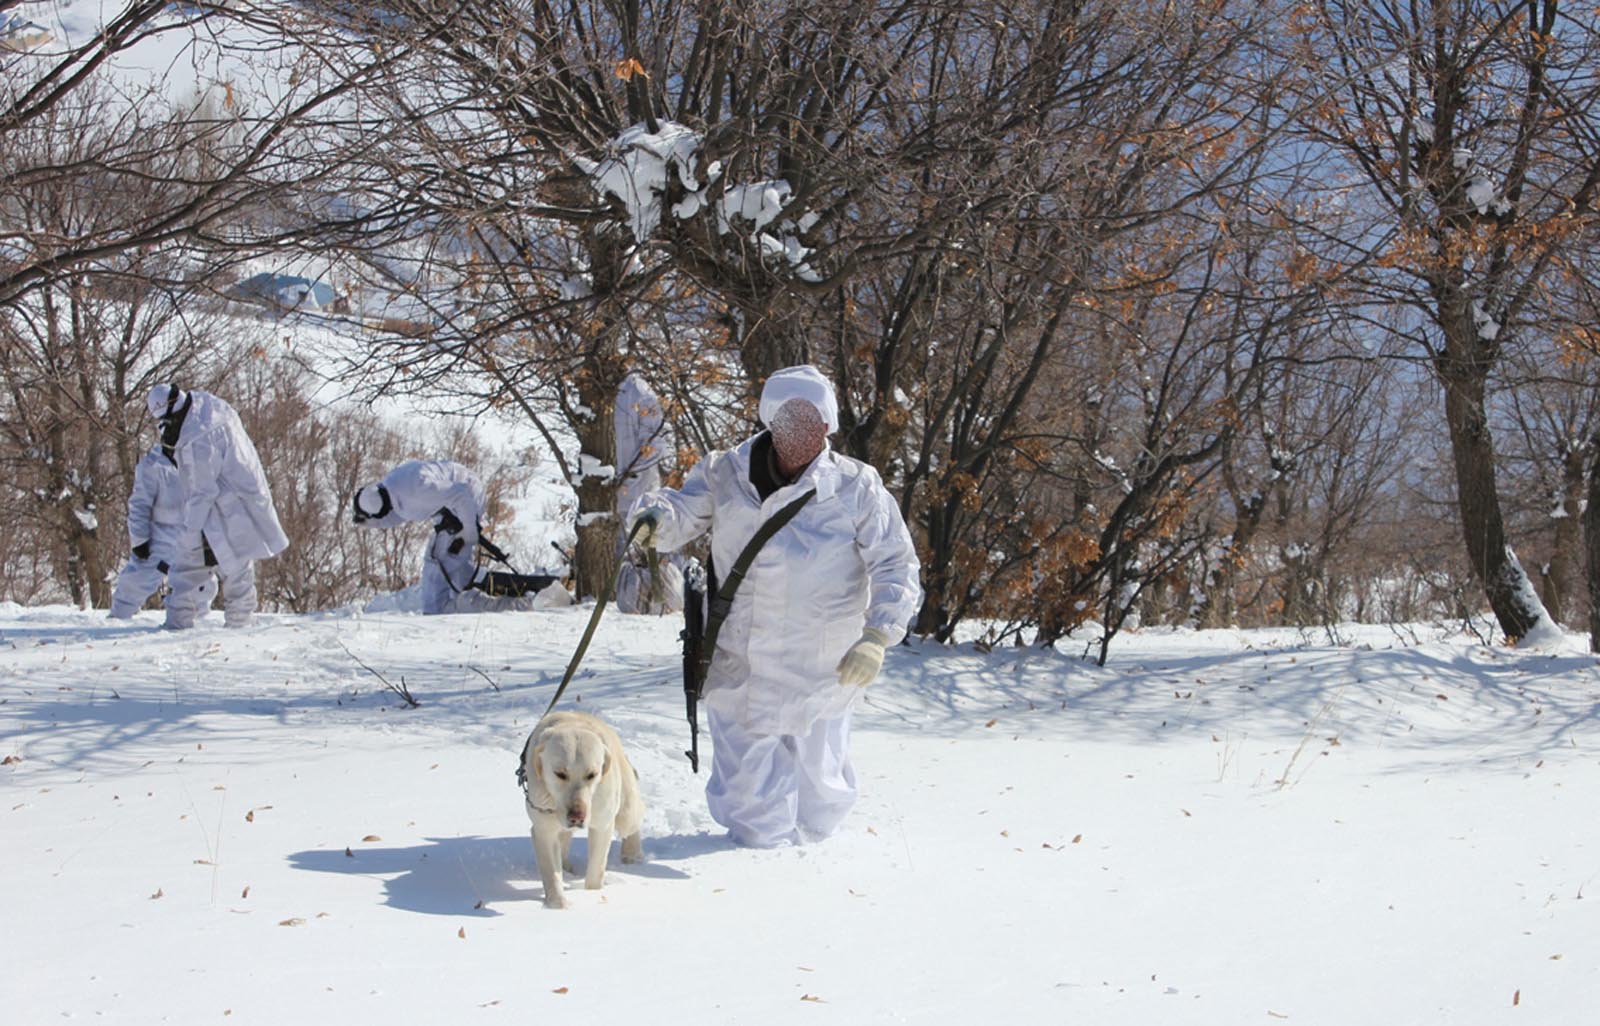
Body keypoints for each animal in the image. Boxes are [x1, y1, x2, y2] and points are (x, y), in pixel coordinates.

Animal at [528, 707, 646, 909]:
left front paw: (592, 895)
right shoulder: (544, 830)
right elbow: (552, 873)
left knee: (634, 822)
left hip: (627, 810)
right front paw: (558, 904)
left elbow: (596, 870)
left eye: (592, 774)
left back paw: (631, 854)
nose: (577, 816)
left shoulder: (602, 825)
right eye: (559, 773)